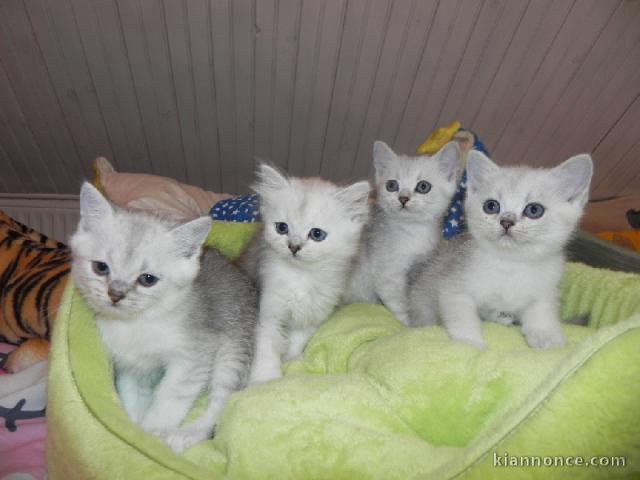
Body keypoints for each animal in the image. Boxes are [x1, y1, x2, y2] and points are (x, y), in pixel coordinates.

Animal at [70, 182, 258, 452]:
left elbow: (170, 396)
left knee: (222, 401)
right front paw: (133, 432)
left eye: (147, 279)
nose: (115, 294)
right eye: (100, 267)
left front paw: (152, 435)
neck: (137, 323)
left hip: (234, 346)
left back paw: (188, 435)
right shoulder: (130, 367)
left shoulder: (194, 356)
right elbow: (132, 398)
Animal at [238, 164, 370, 382]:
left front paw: (290, 360)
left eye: (317, 234)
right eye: (282, 228)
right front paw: (265, 380)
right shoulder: (268, 312)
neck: (302, 277)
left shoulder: (311, 314)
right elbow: (267, 348)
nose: (293, 247)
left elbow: (296, 341)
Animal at [344, 141, 460, 324]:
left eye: (423, 186)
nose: (403, 198)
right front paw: (408, 324)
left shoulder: (422, 263)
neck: (413, 232)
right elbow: (400, 305)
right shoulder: (388, 275)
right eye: (391, 185)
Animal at [410, 151, 596, 348]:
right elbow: (462, 316)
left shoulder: (545, 291)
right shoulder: (453, 285)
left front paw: (548, 338)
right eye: (491, 206)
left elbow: (542, 312)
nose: (506, 221)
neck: (512, 263)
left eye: (534, 209)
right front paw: (470, 343)